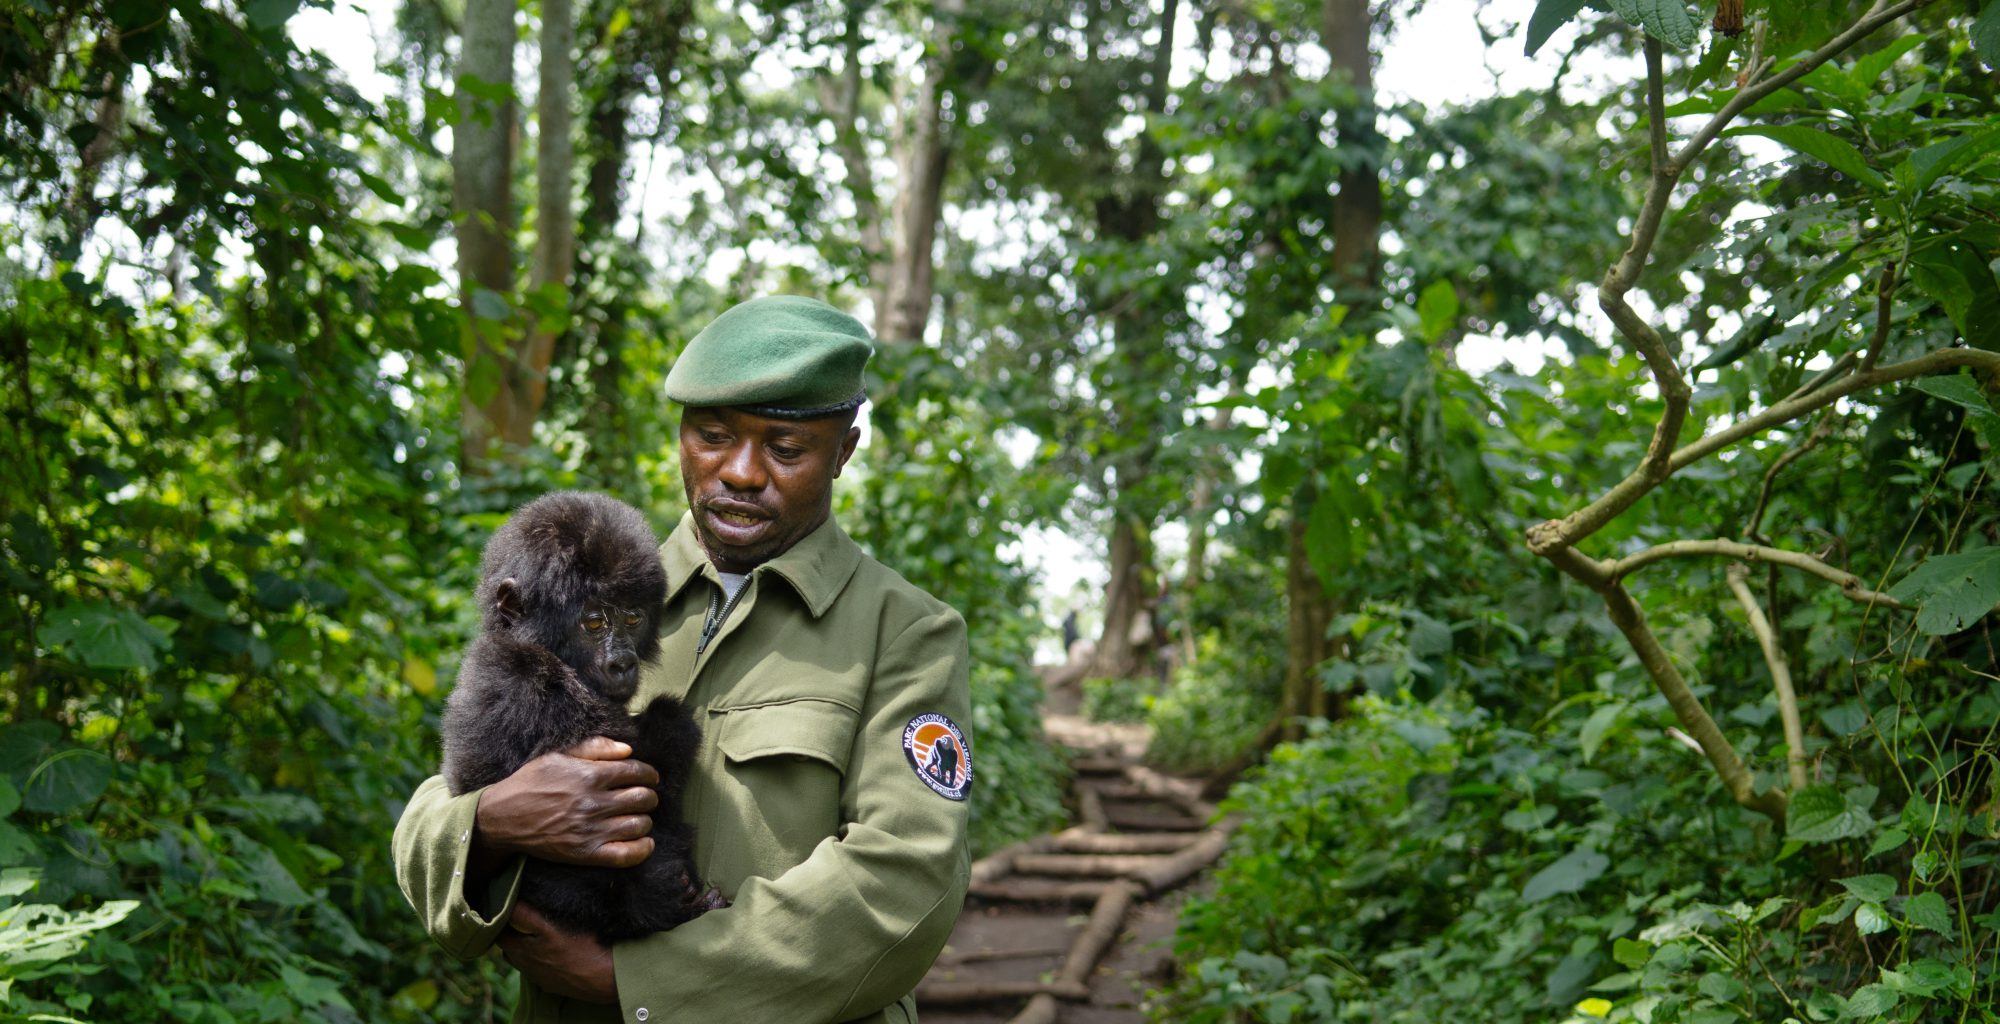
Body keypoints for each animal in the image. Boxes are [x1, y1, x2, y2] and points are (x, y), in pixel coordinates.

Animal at [444, 492, 720, 940]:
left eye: (632, 617)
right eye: (593, 623)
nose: (622, 663)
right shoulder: (531, 687)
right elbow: (652, 764)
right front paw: (671, 719)